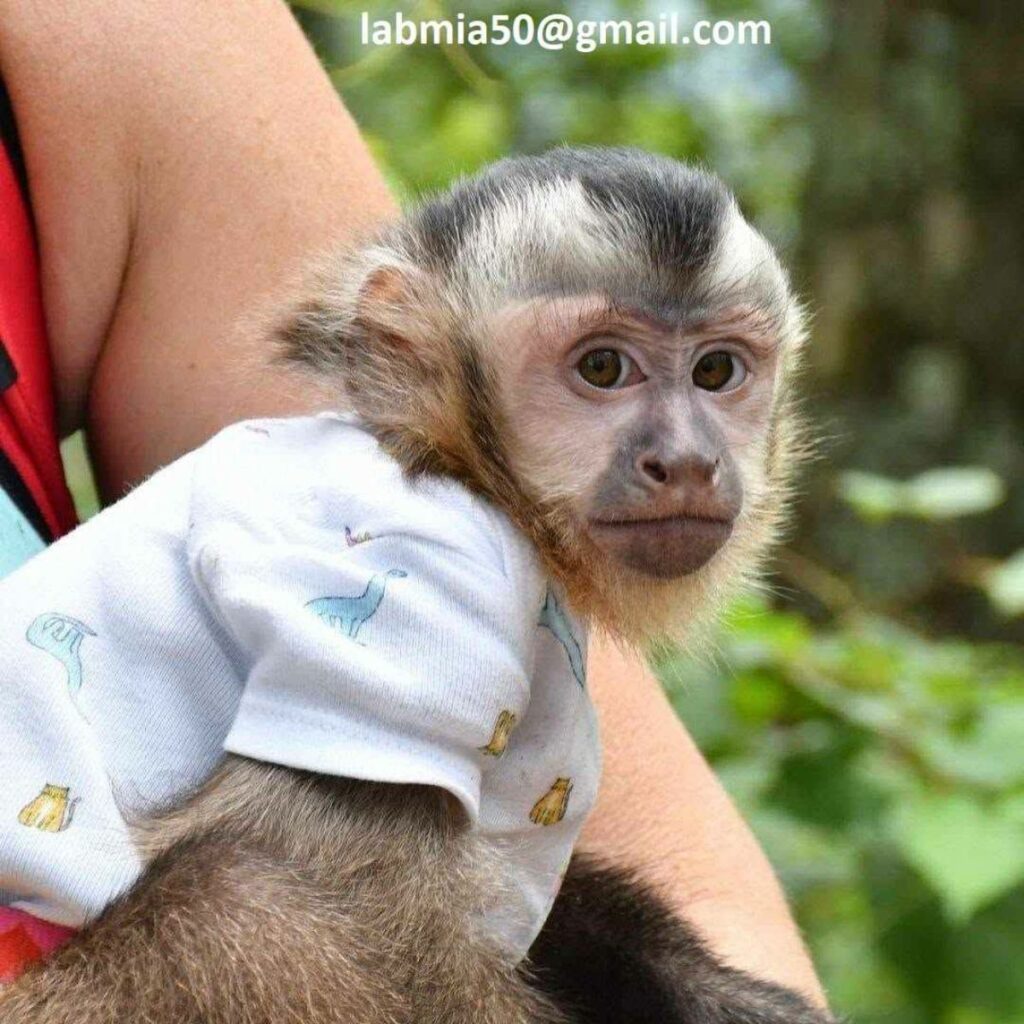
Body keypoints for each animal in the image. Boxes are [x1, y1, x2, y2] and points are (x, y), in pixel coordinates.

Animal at [0, 147, 832, 1023]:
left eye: (717, 371)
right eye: (603, 367)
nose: (686, 461)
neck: (456, 465)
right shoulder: (423, 580)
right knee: (244, 897)